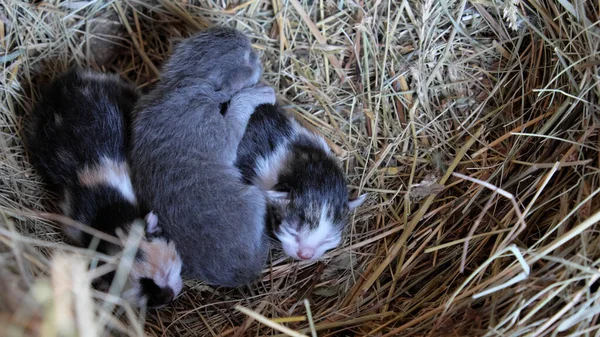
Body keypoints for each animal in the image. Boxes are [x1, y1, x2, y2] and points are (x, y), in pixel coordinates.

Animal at [130, 26, 276, 286]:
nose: (259, 56)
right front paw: (257, 94)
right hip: (254, 198)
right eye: (249, 56)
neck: (184, 83)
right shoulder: (210, 125)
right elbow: (236, 113)